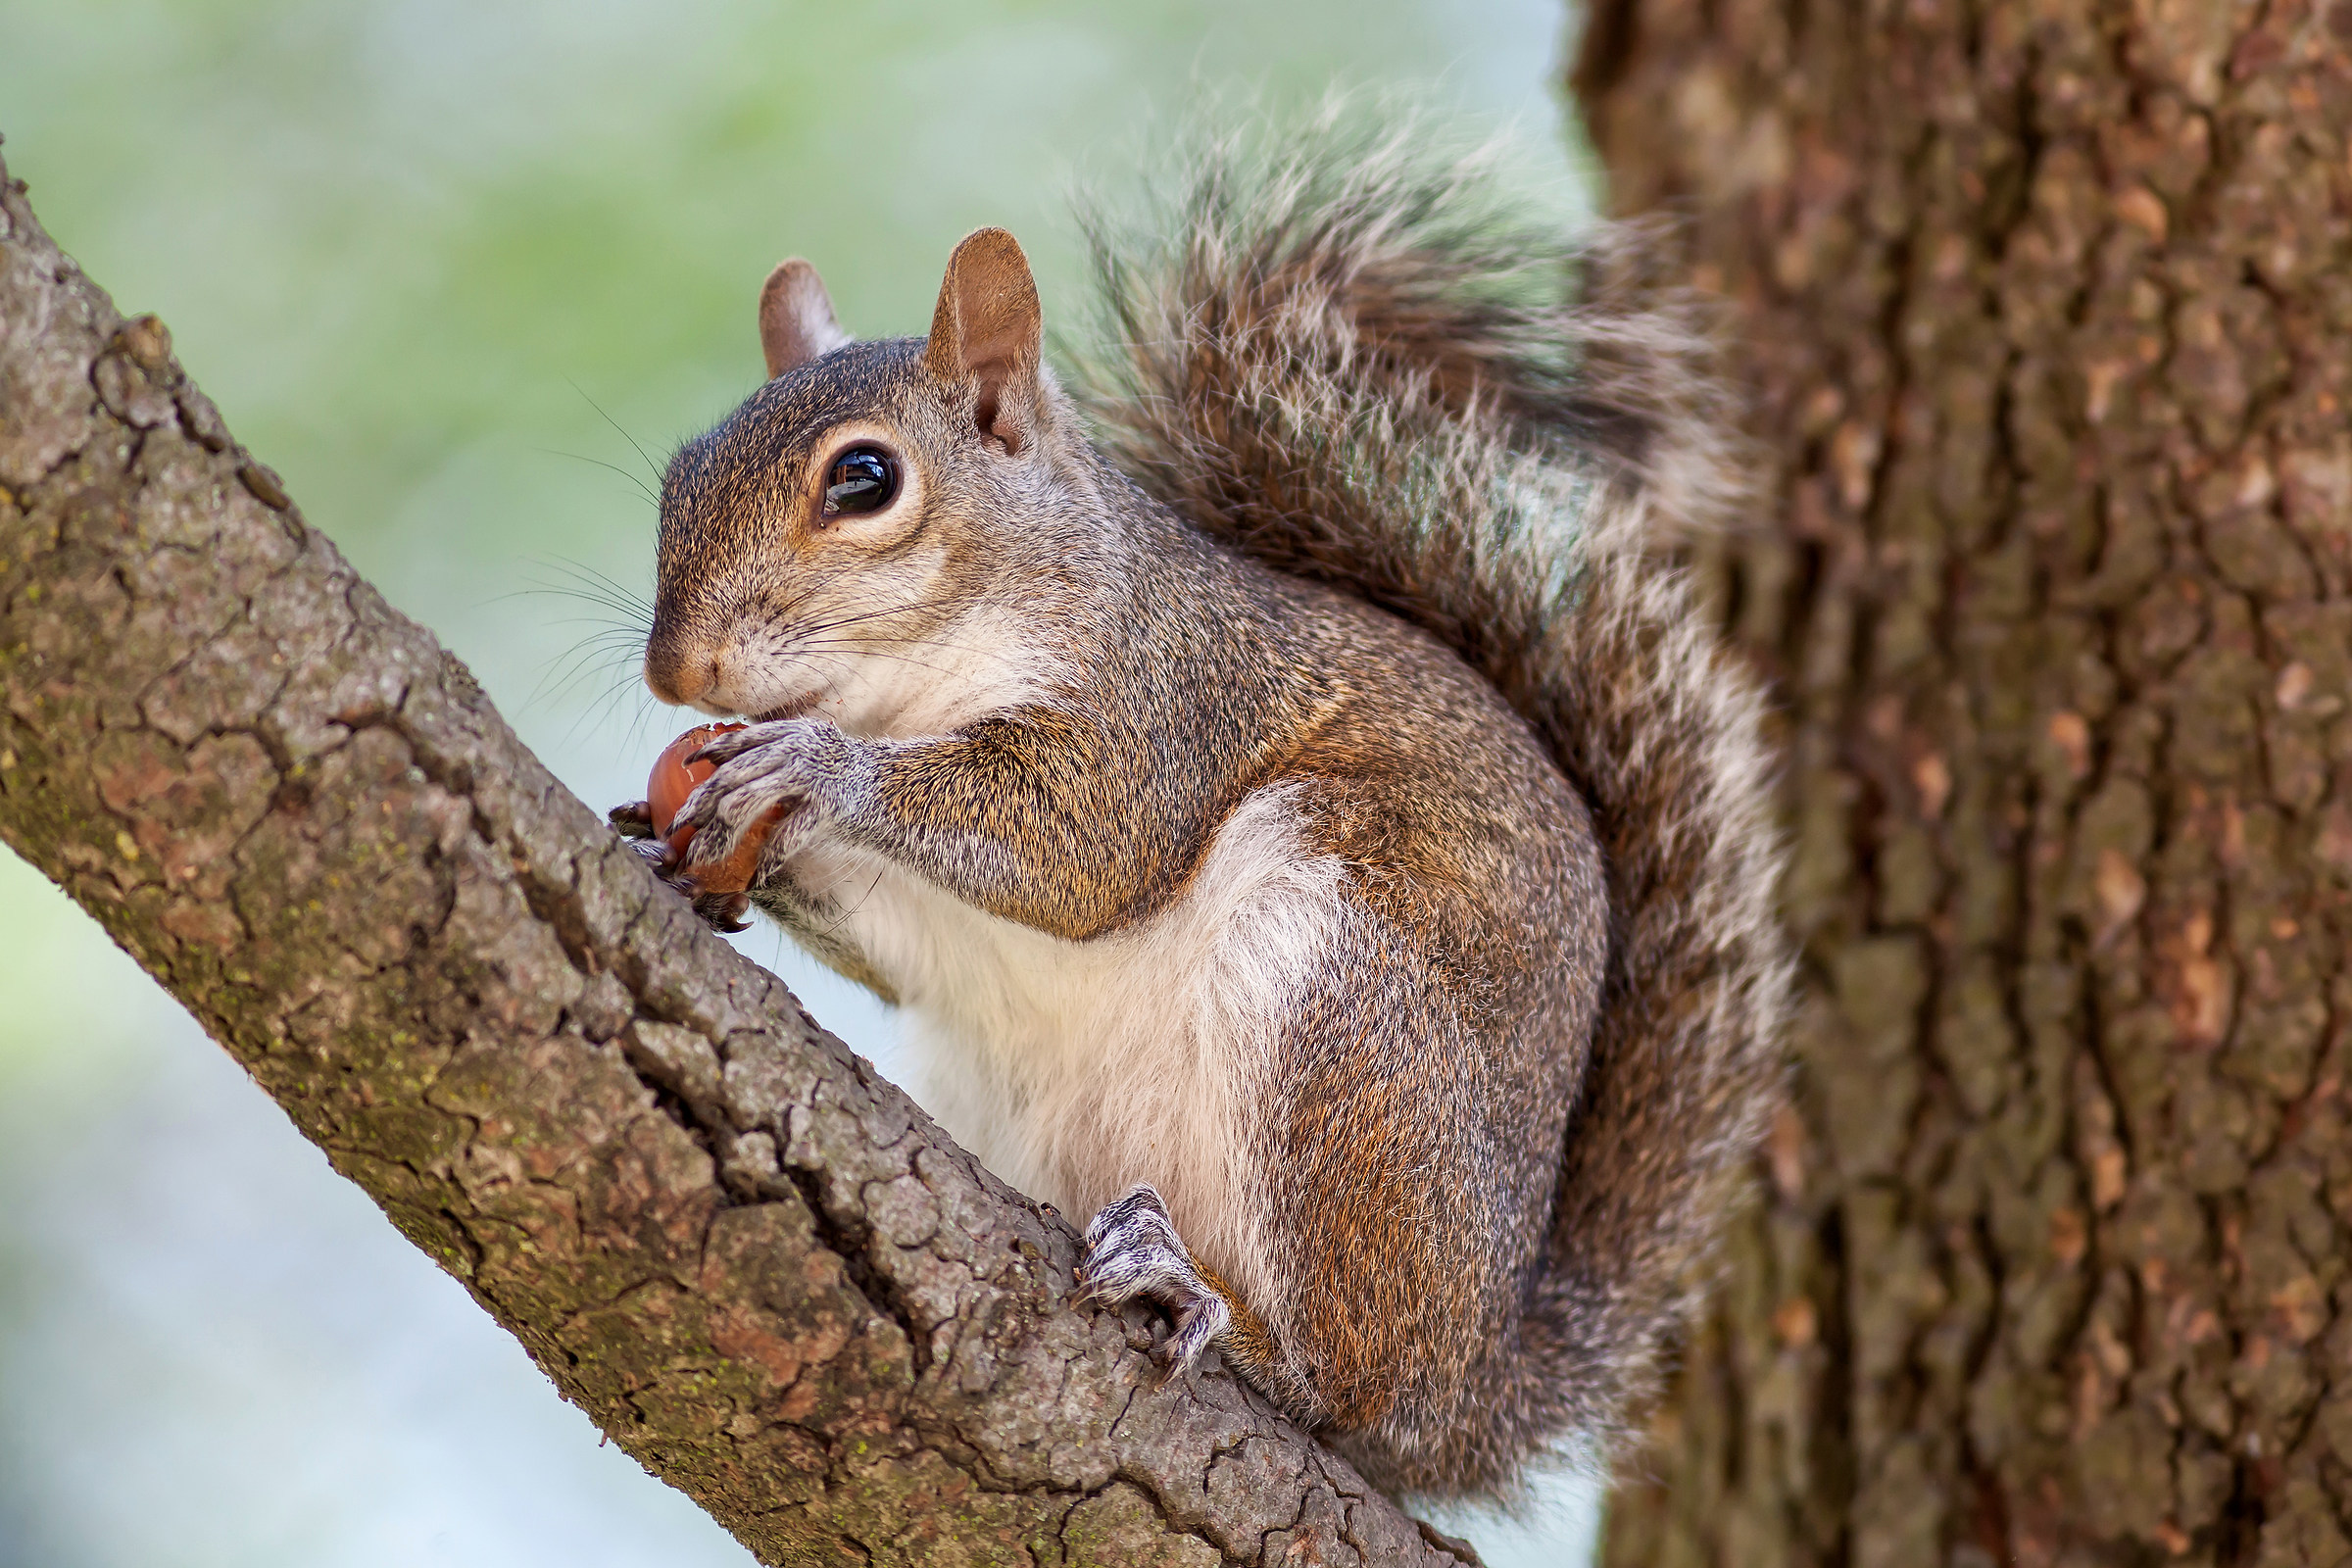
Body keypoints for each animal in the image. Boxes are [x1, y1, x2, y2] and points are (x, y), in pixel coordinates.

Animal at [607, 116, 1791, 1500]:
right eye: (681, 472)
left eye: (864, 478)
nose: (676, 671)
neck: (915, 681)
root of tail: (1471, 1387)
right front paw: (710, 846)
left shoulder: (1168, 704)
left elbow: (1083, 854)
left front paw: (815, 770)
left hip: (1340, 1028)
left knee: (1345, 1384)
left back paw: (1215, 1305)